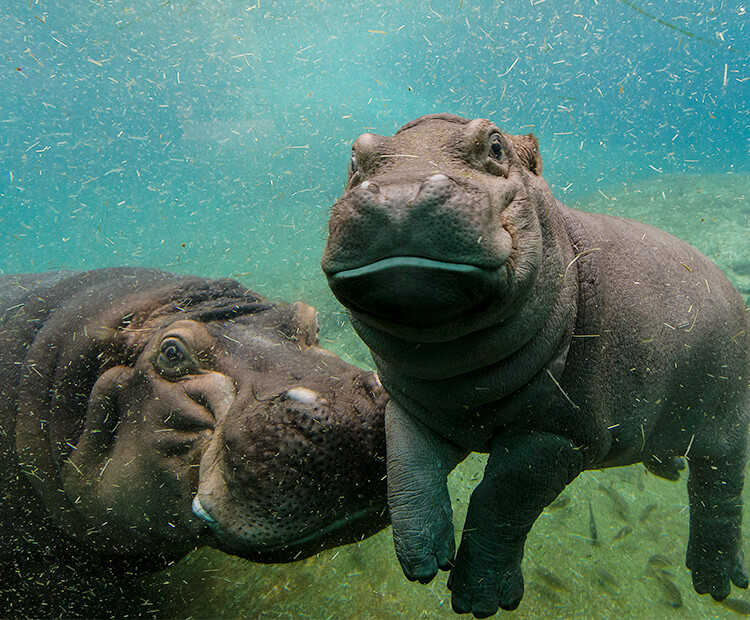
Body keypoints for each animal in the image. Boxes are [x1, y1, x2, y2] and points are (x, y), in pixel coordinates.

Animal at [324, 115, 750, 616]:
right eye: (356, 155)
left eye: (495, 146)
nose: (400, 193)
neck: (458, 377)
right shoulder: (409, 408)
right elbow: (407, 467)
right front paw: (423, 559)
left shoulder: (561, 435)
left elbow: (503, 500)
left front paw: (479, 597)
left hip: (728, 417)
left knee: (719, 489)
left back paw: (716, 582)